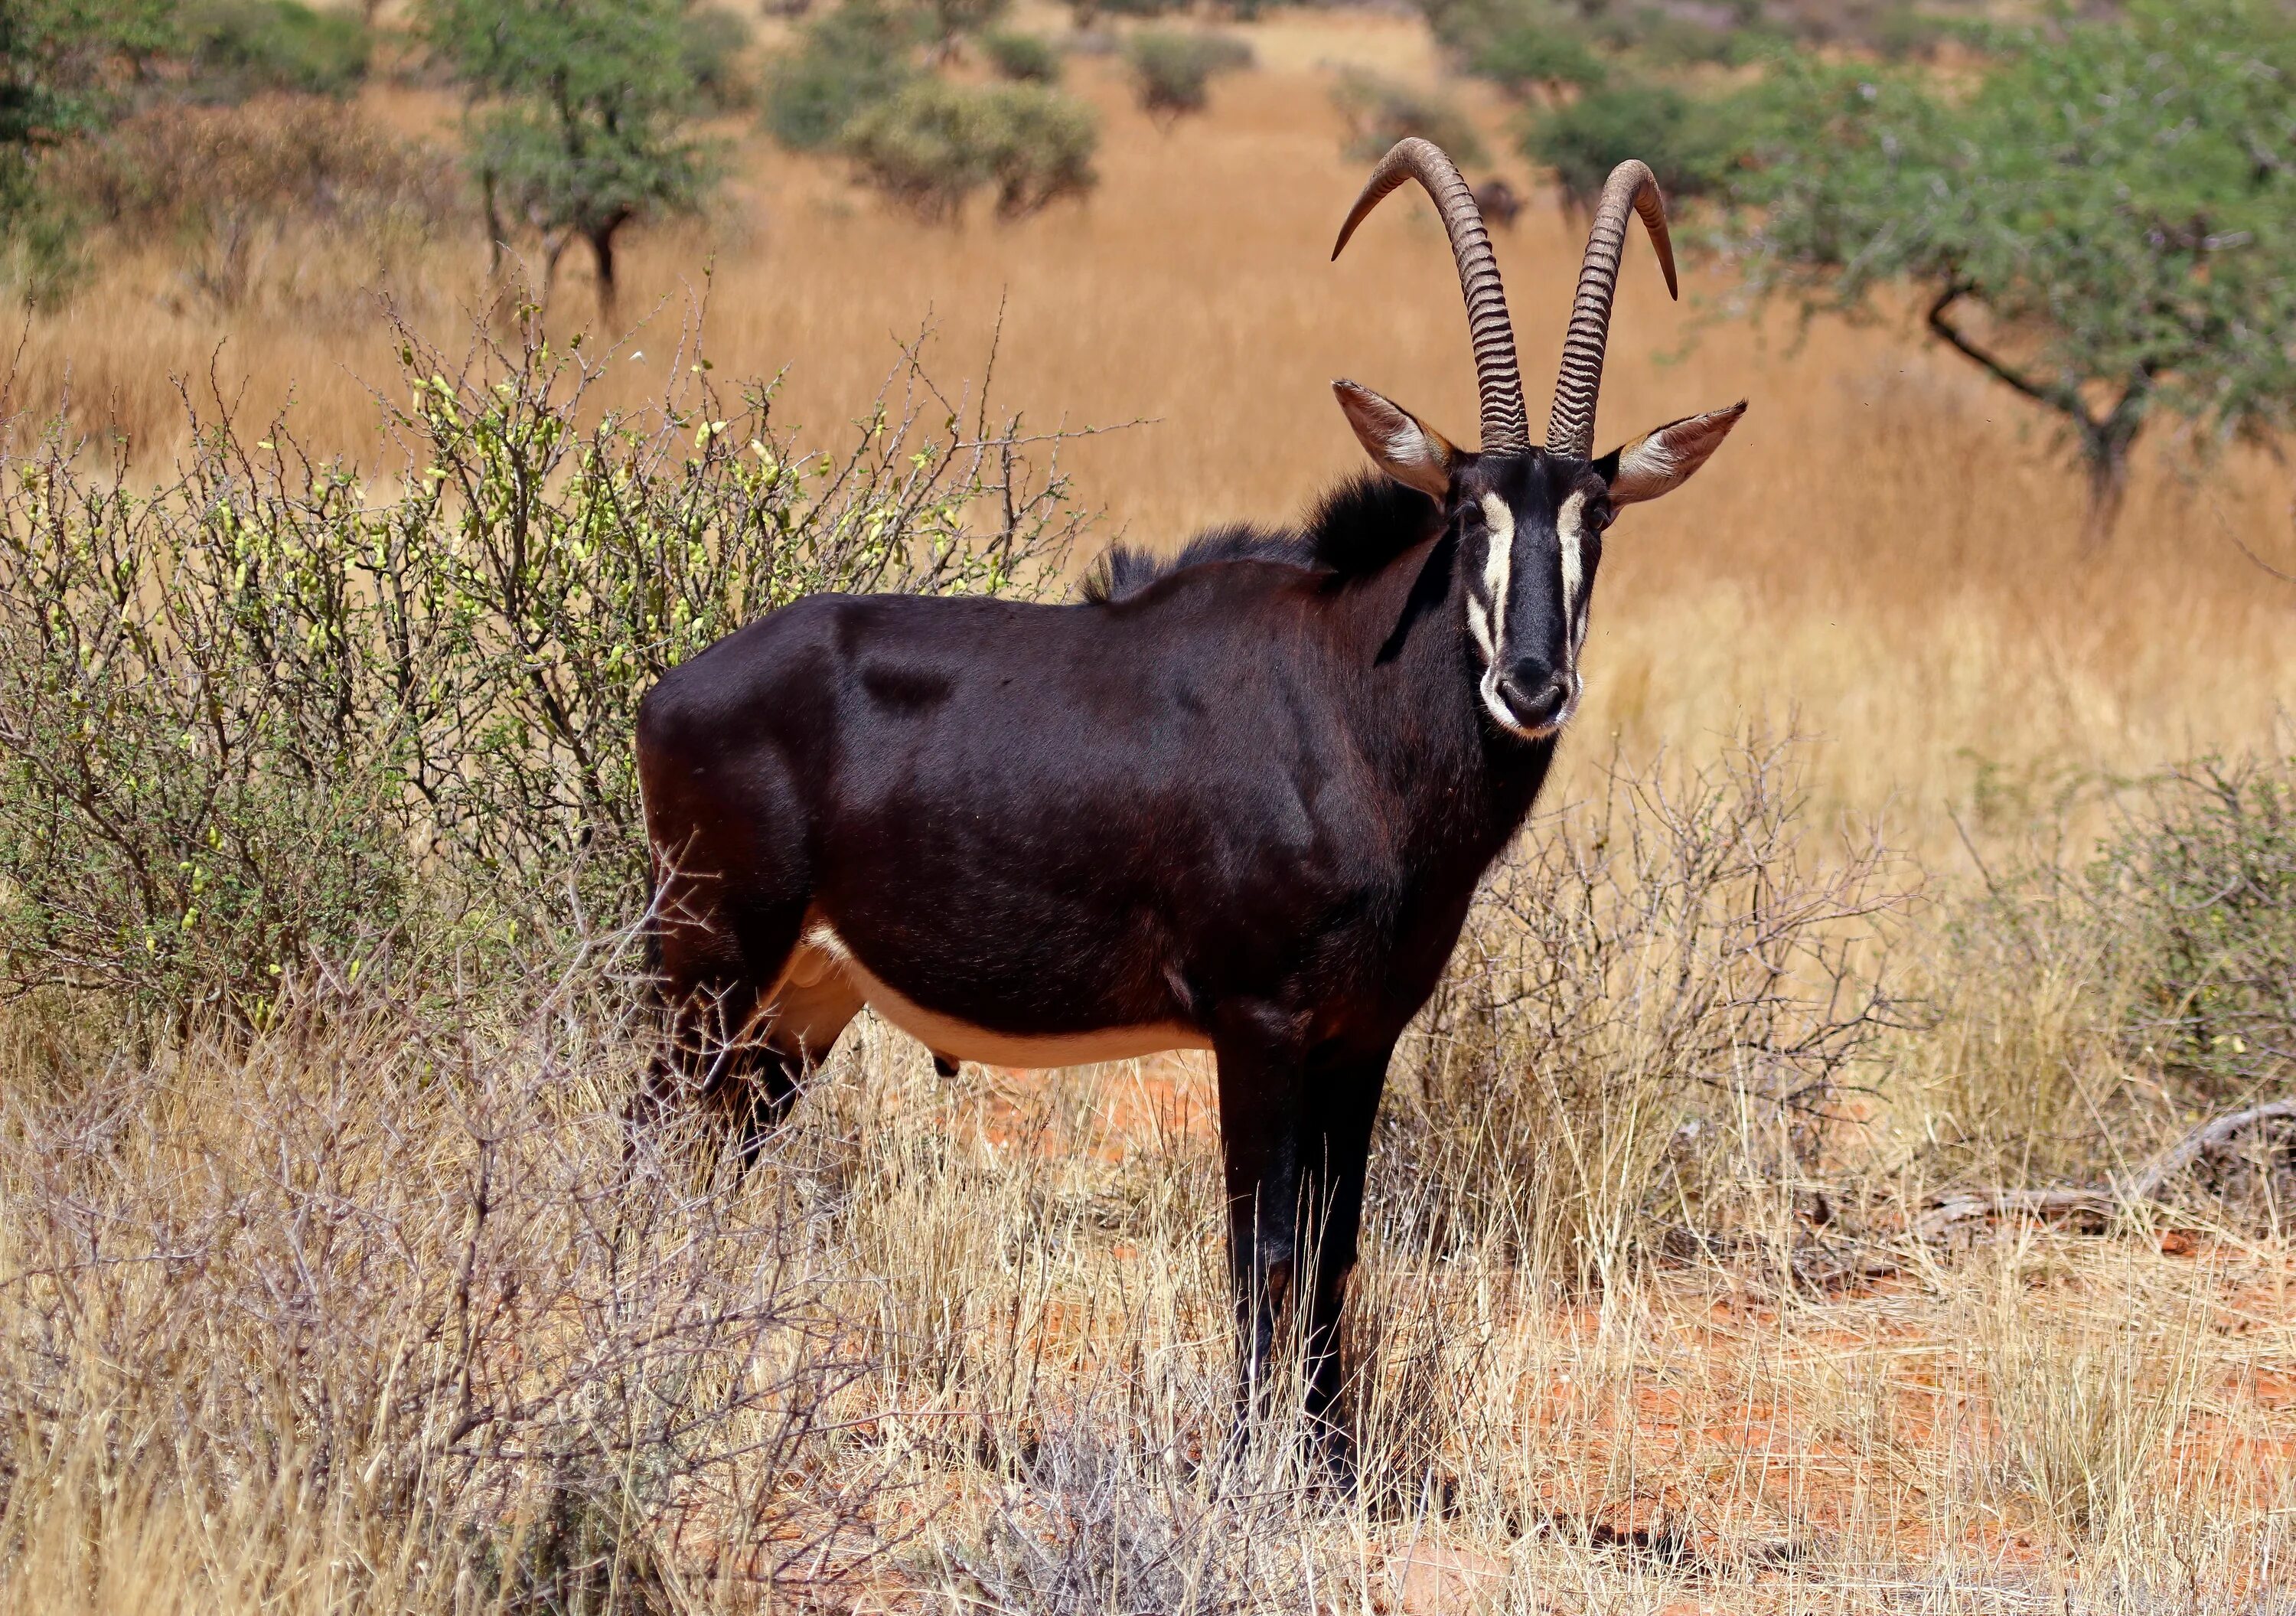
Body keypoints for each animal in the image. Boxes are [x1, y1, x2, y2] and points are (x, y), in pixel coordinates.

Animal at [629, 139, 1736, 1441]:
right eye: (1470, 510)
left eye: (1595, 514)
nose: (1531, 681)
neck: (1349, 704)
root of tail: (672, 691)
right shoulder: (1259, 1023)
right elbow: (1262, 1251)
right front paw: (1256, 1462)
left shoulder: (1362, 1034)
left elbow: (1334, 1249)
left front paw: (1330, 1458)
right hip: (711, 959)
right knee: (655, 1142)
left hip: (802, 997)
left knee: (717, 1153)